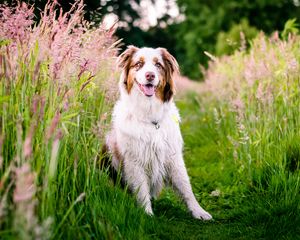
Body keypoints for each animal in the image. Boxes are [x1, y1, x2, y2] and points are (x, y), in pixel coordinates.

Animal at [104, 46, 212, 220]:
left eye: (158, 65)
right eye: (138, 64)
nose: (150, 75)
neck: (150, 116)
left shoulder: (173, 156)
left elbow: (186, 187)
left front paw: (198, 211)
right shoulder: (134, 160)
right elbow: (141, 189)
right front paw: (147, 214)